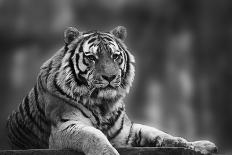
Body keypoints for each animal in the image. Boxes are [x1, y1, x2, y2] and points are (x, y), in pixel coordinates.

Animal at [6, 26, 218, 154]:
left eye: (115, 56)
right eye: (91, 57)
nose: (110, 77)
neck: (103, 104)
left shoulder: (126, 132)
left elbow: (159, 133)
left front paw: (185, 144)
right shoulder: (64, 127)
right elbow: (94, 136)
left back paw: (205, 144)